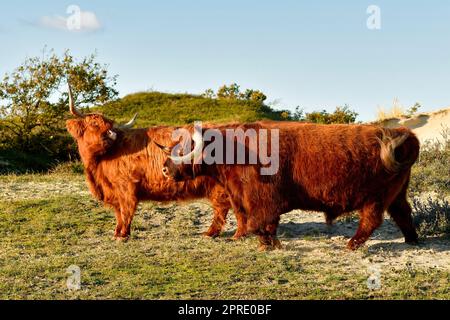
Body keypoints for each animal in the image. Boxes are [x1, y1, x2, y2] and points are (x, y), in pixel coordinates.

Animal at [64, 85, 243, 240]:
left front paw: (123, 235)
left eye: (110, 125)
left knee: (223, 207)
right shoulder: (113, 190)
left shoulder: (127, 186)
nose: (111, 134)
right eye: (94, 123)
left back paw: (215, 233)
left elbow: (126, 210)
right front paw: (116, 232)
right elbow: (118, 212)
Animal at [156, 120, 420, 250]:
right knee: (403, 213)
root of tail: (400, 132)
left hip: (375, 198)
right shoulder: (242, 197)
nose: (165, 169)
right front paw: (260, 242)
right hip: (396, 195)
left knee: (371, 221)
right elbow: (253, 221)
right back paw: (412, 240)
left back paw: (352, 245)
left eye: (184, 147)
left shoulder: (263, 200)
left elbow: (260, 223)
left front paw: (266, 244)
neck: (234, 148)